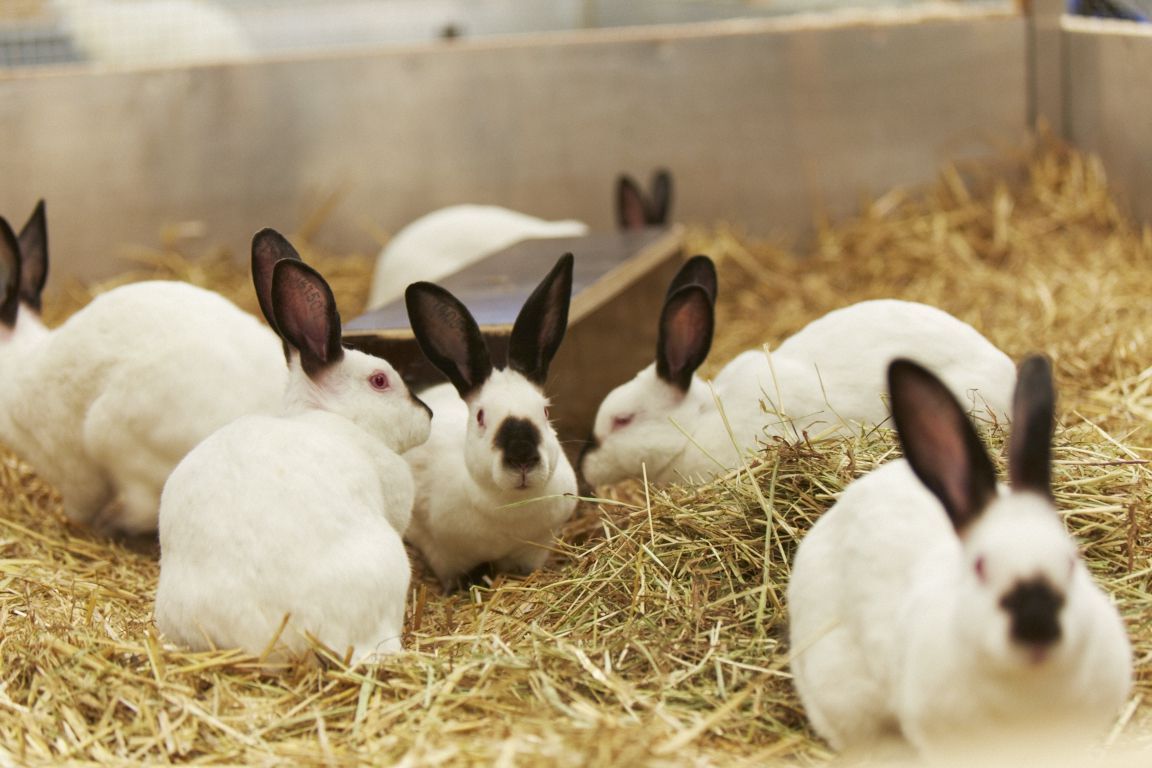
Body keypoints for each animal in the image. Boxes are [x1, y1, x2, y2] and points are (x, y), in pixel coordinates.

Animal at [0, 203, 286, 535]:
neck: (16, 363)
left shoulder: (68, 468)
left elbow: (81, 503)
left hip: (114, 436)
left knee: (142, 509)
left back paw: (110, 524)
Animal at [402, 252, 578, 591]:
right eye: (481, 417)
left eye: (545, 412)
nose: (522, 457)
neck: (511, 508)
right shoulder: (446, 556)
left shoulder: (535, 548)